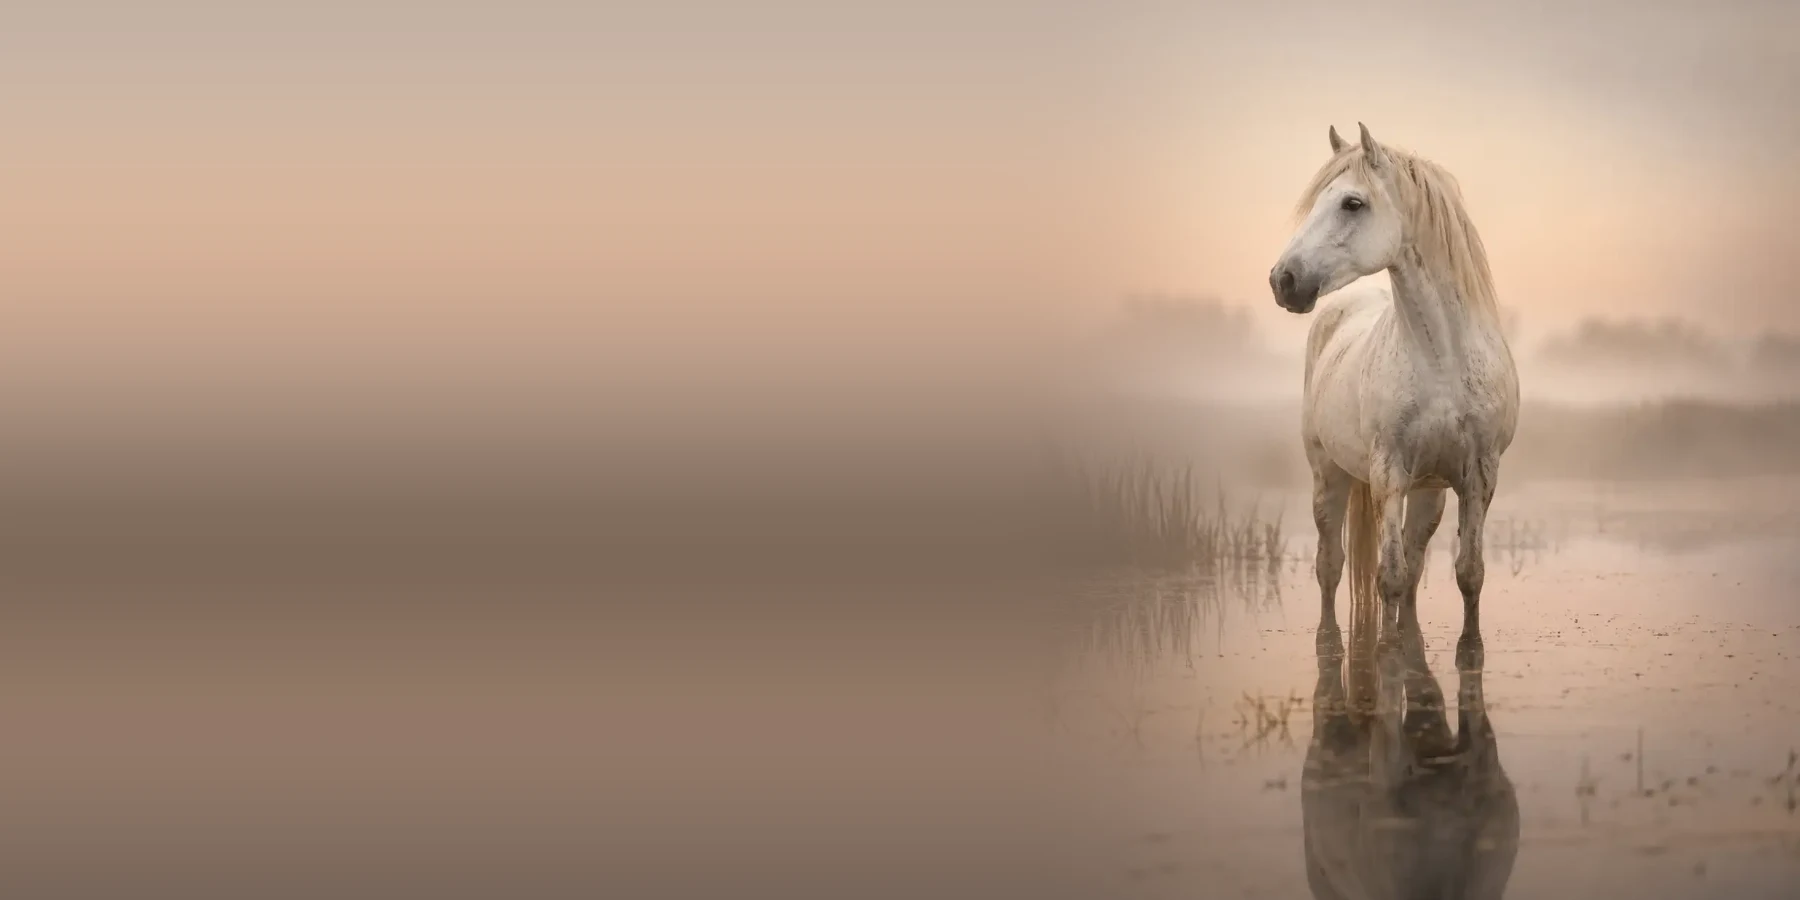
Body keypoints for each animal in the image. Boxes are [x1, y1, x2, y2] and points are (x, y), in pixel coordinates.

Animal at [1269, 123, 1519, 651]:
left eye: (1352, 203)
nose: (1284, 281)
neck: (1443, 358)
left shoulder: (1479, 477)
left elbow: (1469, 574)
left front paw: (1468, 649)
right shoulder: (1389, 475)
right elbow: (1389, 576)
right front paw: (1387, 652)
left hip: (1430, 494)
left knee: (1416, 561)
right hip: (1329, 477)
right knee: (1330, 567)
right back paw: (1331, 642)